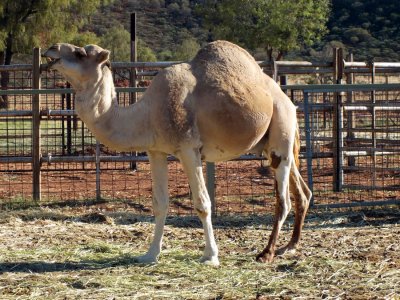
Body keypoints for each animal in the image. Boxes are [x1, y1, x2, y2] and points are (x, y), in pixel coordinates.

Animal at [43, 39, 312, 264]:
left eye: (80, 53)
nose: (52, 49)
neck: (146, 114)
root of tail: (288, 100)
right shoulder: (156, 151)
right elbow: (160, 203)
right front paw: (150, 254)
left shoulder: (189, 149)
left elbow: (202, 203)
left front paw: (211, 256)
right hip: (271, 144)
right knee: (303, 191)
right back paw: (289, 247)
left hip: (281, 129)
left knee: (283, 200)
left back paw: (266, 253)